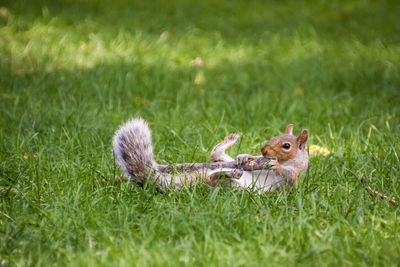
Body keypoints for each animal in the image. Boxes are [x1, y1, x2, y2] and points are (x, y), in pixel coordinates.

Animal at [112, 119, 310, 193]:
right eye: (272, 137)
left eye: (286, 146)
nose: (263, 151)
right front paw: (248, 157)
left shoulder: (296, 176)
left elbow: (290, 176)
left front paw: (276, 164)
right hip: (224, 168)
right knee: (216, 158)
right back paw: (236, 151)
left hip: (228, 186)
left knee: (214, 179)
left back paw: (231, 172)